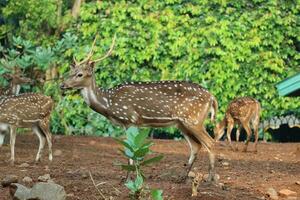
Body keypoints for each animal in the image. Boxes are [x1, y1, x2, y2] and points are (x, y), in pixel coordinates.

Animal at [61, 34, 219, 183]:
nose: (62, 85)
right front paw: (132, 176)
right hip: (181, 123)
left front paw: (128, 178)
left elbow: (130, 150)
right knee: (196, 145)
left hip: (194, 119)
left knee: (211, 143)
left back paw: (210, 178)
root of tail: (212, 97)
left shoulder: (130, 119)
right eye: (70, 72)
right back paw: (182, 177)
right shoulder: (131, 123)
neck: (108, 103)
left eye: (80, 74)